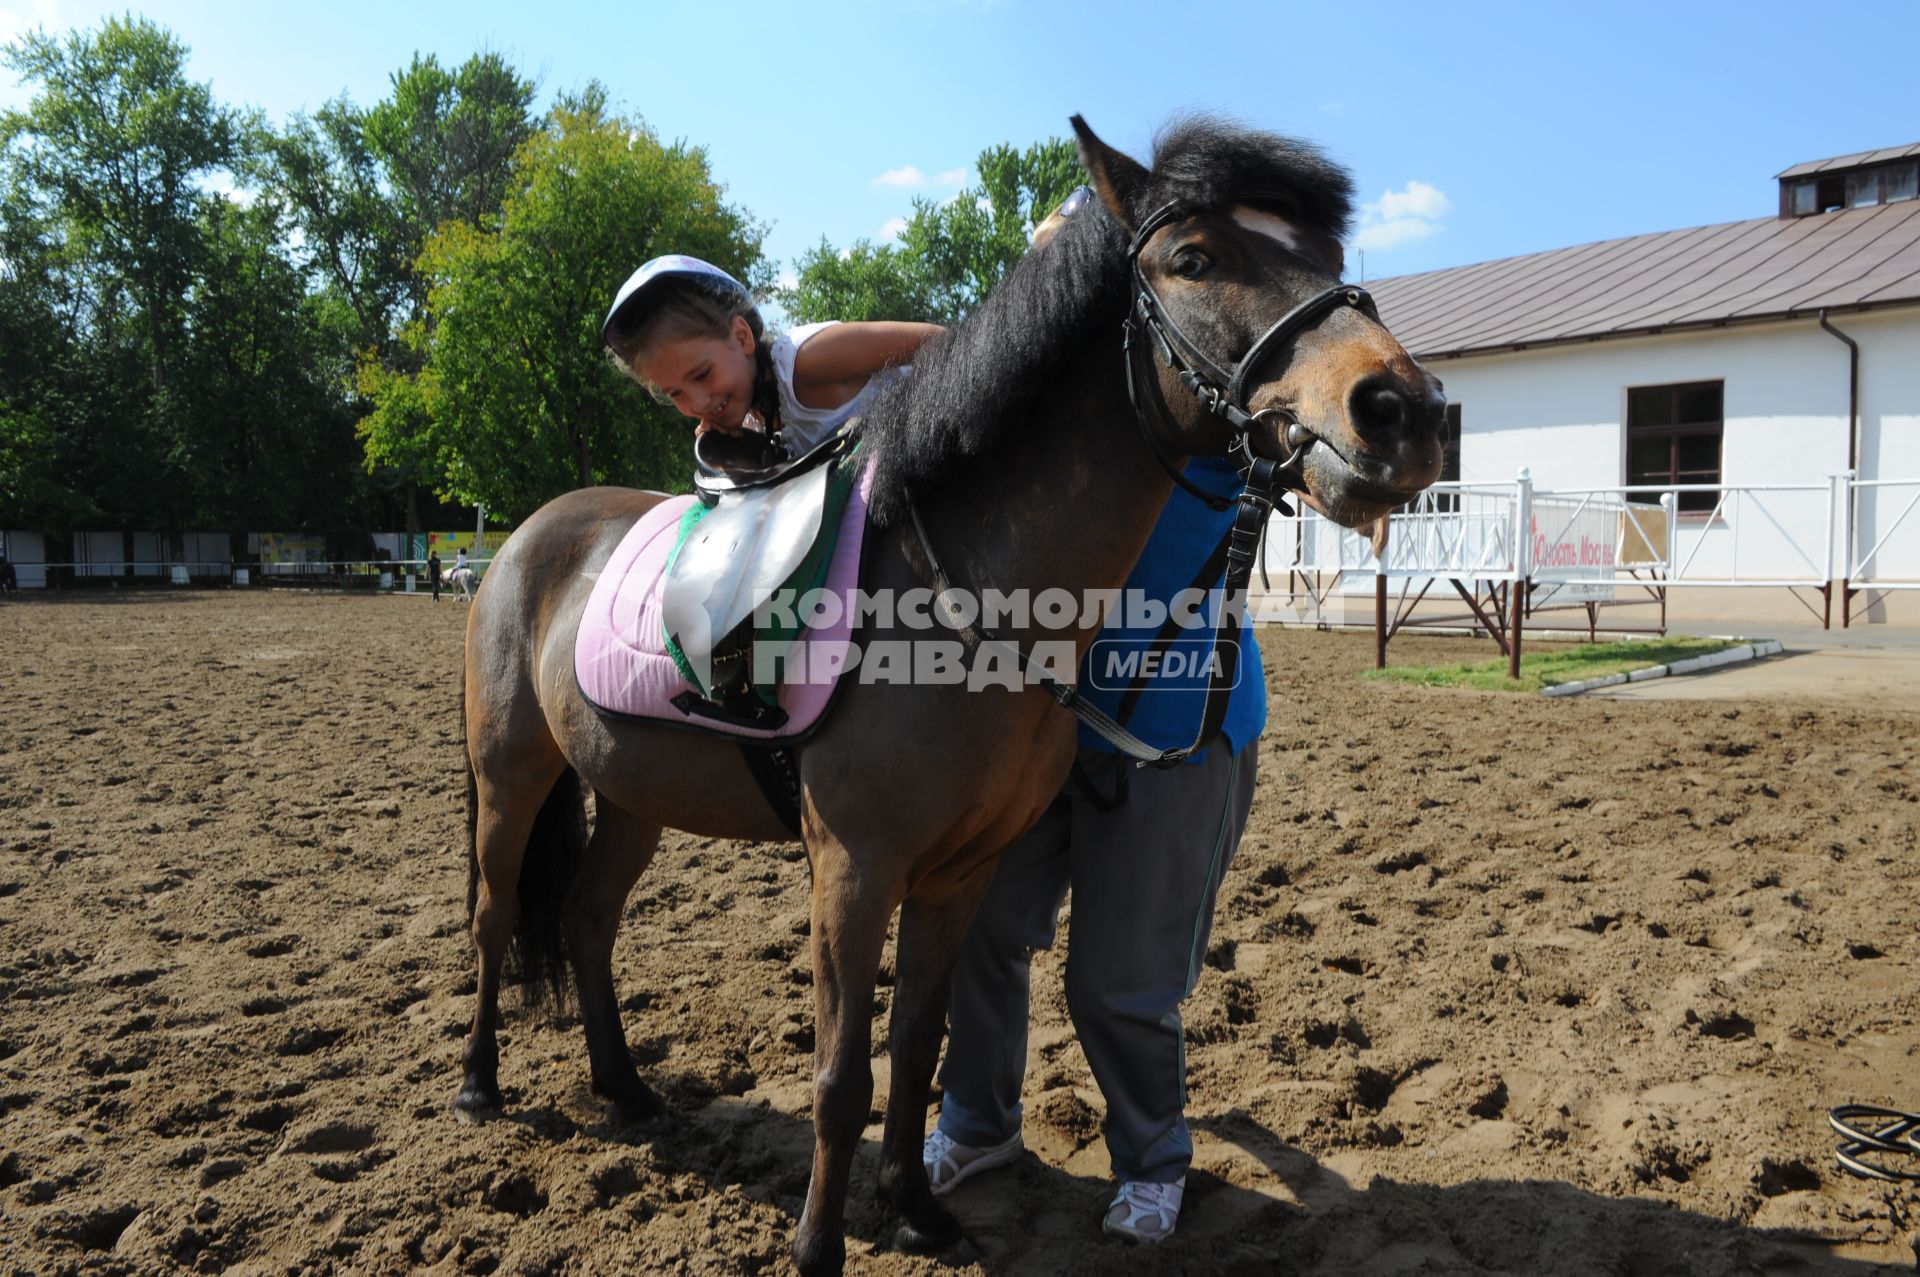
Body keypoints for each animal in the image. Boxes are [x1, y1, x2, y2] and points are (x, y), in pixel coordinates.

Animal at [453, 114, 1443, 1267]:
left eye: (1330, 258)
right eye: (1193, 259)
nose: (1403, 409)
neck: (964, 595)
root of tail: (530, 532)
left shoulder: (960, 871)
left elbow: (922, 1044)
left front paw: (920, 1210)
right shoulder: (852, 870)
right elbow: (843, 1074)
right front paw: (818, 1245)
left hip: (633, 796)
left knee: (585, 919)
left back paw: (624, 1086)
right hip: (513, 774)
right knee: (494, 915)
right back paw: (478, 1084)